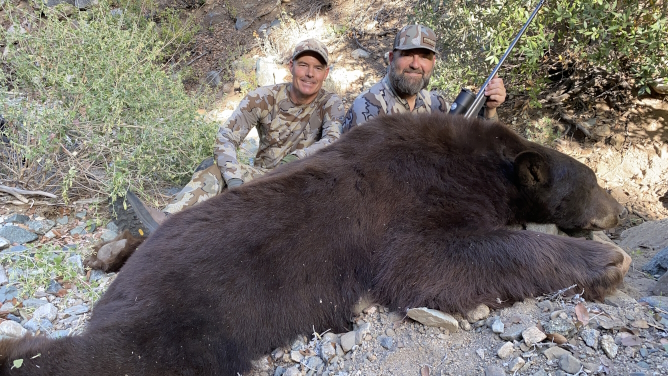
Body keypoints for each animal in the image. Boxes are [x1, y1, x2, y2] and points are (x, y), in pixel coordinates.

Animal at [0, 113, 628, 374]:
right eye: (595, 181)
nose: (618, 210)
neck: (485, 164)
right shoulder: (410, 199)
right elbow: (429, 265)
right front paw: (607, 262)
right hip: (175, 326)